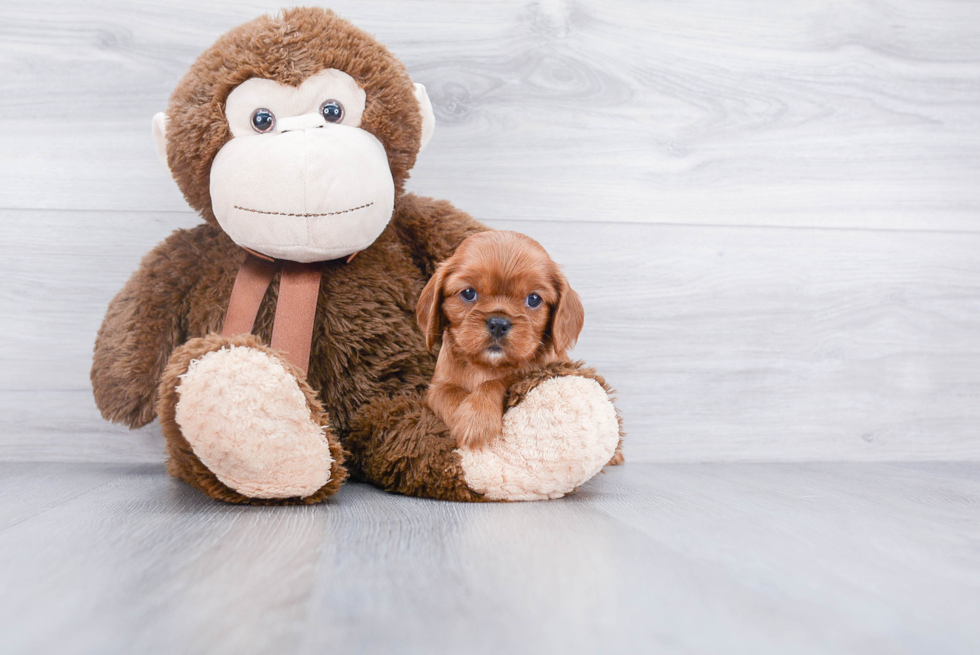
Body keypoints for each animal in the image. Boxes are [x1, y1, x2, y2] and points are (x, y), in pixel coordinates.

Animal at [418, 231, 584, 452]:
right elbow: (452, 397)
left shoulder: (537, 372)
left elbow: (498, 381)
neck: (487, 366)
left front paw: (477, 418)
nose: (498, 323)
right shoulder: (437, 388)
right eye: (468, 293)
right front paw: (466, 421)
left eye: (533, 299)